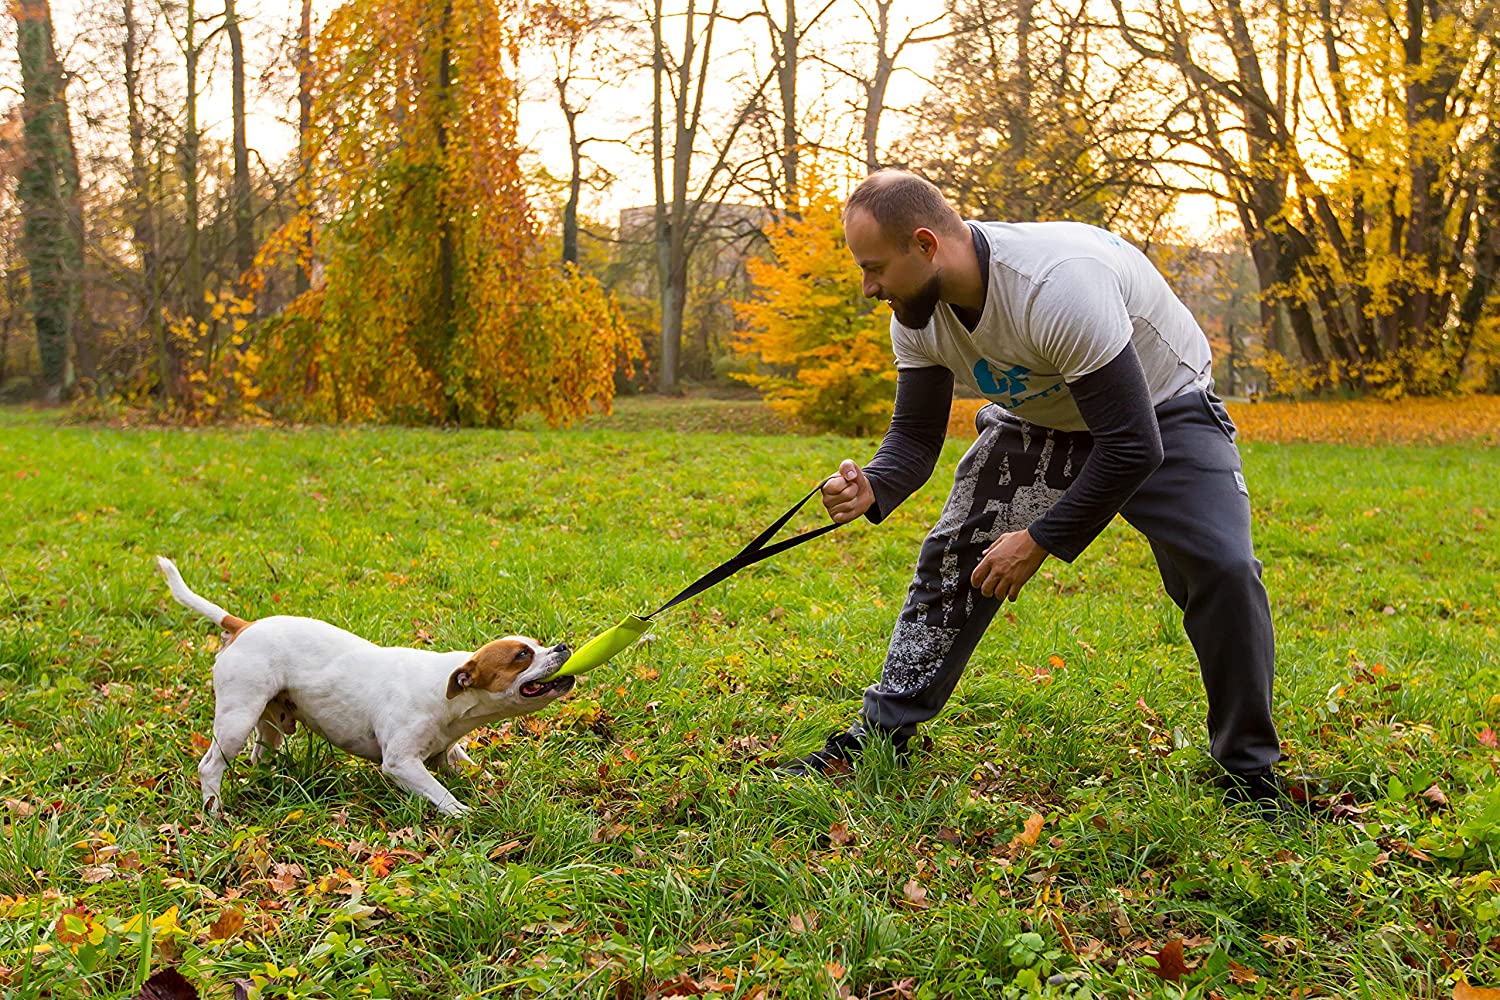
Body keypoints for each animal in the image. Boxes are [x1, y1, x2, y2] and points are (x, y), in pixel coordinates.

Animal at [153, 560, 573, 815]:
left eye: (537, 644)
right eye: (522, 655)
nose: (563, 646)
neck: (447, 694)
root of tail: (243, 625)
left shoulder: (446, 755)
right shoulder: (402, 764)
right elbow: (441, 794)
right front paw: (462, 814)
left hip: (271, 721)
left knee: (262, 753)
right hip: (235, 721)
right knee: (210, 766)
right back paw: (214, 812)